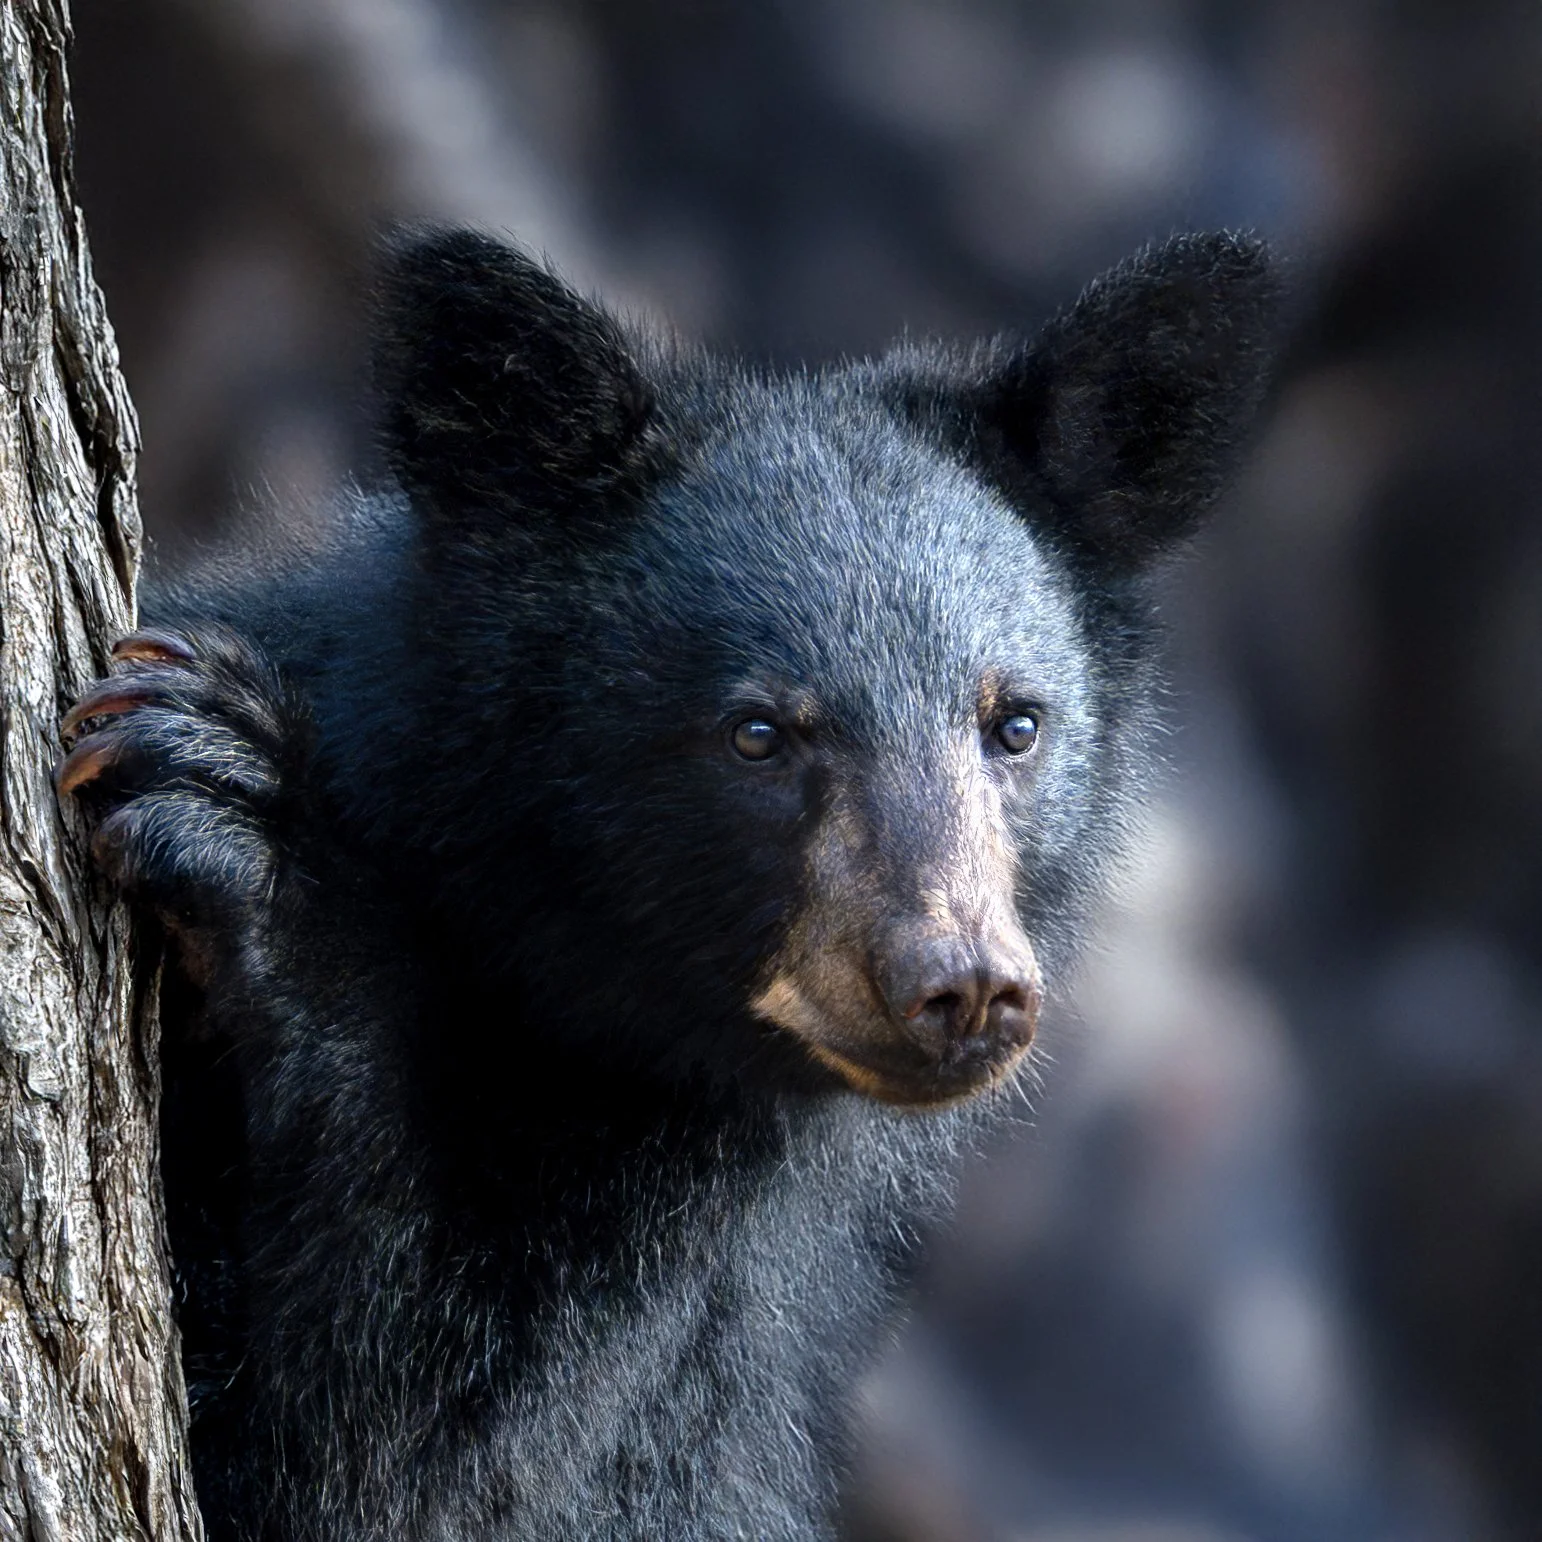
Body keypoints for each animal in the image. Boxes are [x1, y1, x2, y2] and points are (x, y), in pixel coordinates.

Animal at [59, 227, 1278, 1541]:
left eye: (1015, 725)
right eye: (757, 733)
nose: (959, 987)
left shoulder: (674, 1272)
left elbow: (389, 1447)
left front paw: (234, 814)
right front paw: (215, 772)